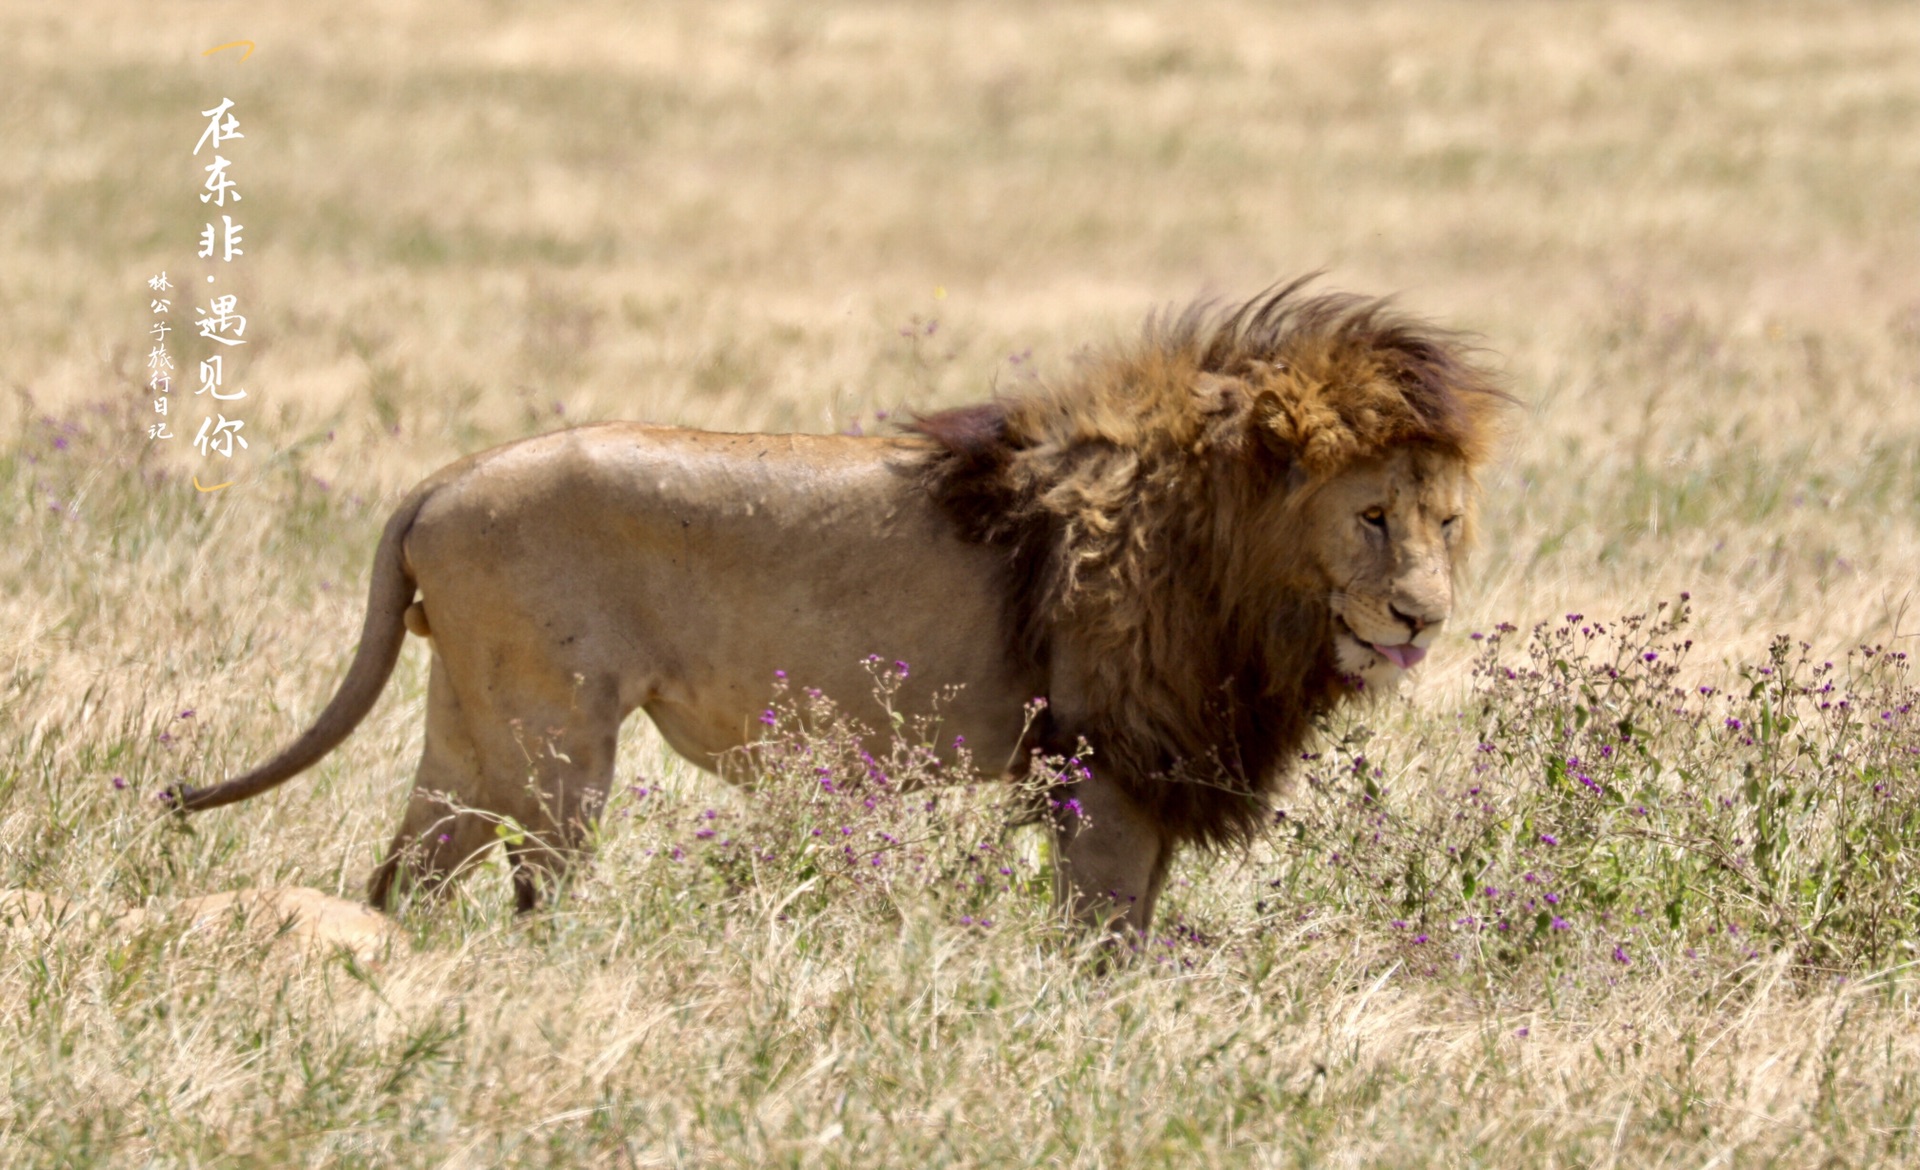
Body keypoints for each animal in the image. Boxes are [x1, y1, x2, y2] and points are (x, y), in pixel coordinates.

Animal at [172, 280, 1505, 929]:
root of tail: (442, 480)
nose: (1421, 618)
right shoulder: (1107, 760)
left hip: (470, 726)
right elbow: (1104, 925)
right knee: (532, 883)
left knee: (410, 870)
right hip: (559, 745)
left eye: (1444, 522)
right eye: (1372, 518)